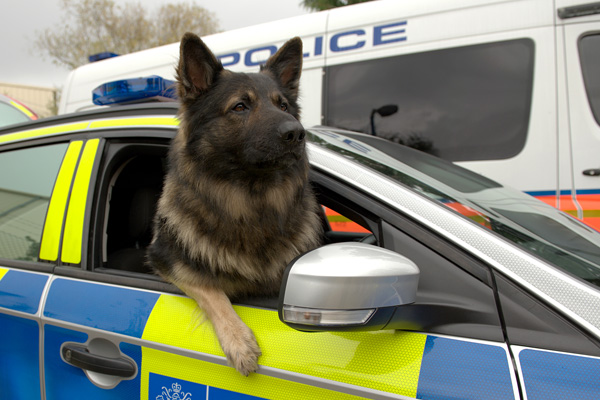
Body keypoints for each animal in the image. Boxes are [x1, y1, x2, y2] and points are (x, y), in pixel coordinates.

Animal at [147, 33, 324, 376]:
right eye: (240, 106)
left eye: (283, 105)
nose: (297, 133)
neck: (251, 203)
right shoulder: (166, 261)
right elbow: (211, 290)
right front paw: (239, 341)